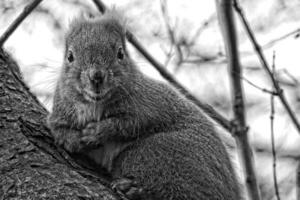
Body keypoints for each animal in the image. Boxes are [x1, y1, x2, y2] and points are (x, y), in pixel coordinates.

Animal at [48, 10, 243, 200]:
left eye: (120, 53)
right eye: (70, 56)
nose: (96, 76)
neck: (95, 105)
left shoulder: (149, 103)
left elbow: (129, 124)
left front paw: (97, 131)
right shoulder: (60, 113)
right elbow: (58, 130)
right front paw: (74, 139)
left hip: (155, 153)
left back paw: (134, 189)